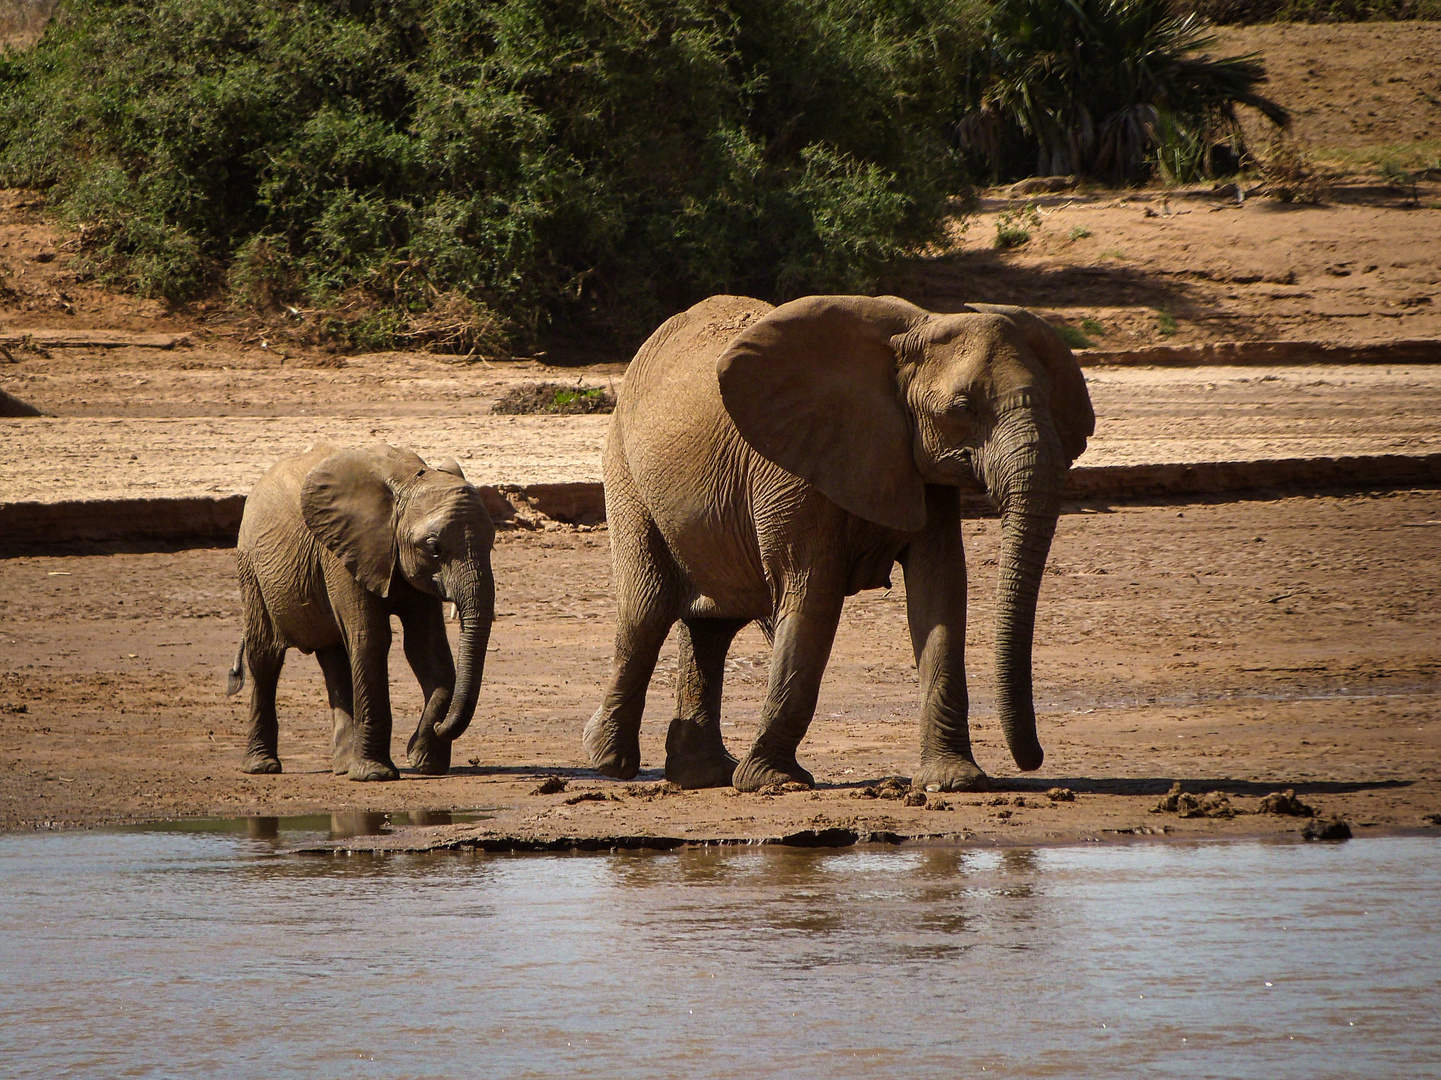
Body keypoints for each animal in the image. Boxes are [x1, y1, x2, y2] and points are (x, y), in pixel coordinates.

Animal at [224, 441, 495, 778]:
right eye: (434, 547)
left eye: (492, 541)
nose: (439, 726)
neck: (408, 480)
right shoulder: (342, 552)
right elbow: (371, 638)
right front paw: (377, 775)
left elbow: (426, 647)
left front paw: (425, 763)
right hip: (250, 564)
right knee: (265, 656)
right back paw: (263, 767)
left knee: (335, 658)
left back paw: (342, 767)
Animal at [582, 295, 1089, 790]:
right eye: (963, 408)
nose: (1033, 760)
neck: (914, 331)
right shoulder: (791, 468)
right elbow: (814, 594)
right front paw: (774, 782)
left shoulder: (919, 467)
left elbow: (939, 592)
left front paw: (955, 781)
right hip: (626, 469)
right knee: (647, 610)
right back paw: (609, 761)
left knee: (714, 623)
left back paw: (703, 776)